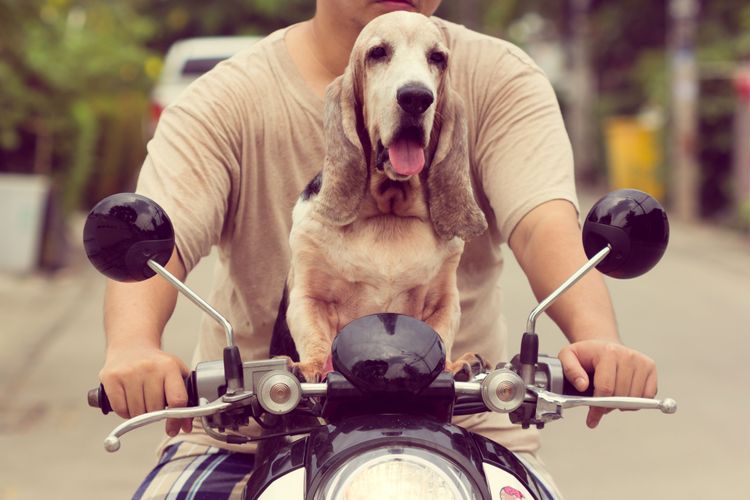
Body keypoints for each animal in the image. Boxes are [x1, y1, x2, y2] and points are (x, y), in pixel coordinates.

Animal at [274, 11, 490, 384]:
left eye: (438, 58)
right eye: (378, 53)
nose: (416, 97)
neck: (389, 214)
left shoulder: (444, 300)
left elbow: (440, 332)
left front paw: (454, 365)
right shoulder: (308, 295)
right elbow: (315, 335)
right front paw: (310, 368)